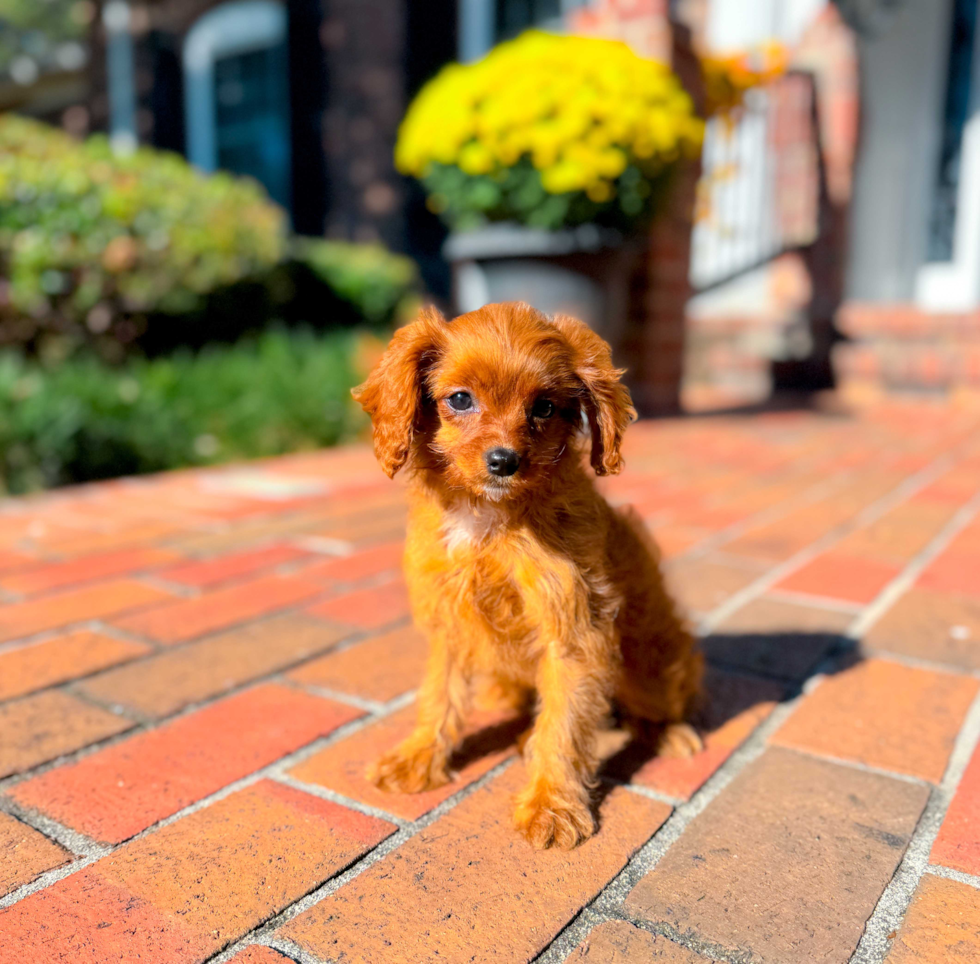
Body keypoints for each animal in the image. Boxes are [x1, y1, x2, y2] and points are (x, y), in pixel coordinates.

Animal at [352, 304, 704, 852]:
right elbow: (438, 695)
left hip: (653, 661)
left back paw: (666, 731)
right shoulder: (448, 622)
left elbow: (563, 724)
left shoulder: (574, 630)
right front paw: (419, 757)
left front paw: (552, 805)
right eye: (460, 399)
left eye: (544, 407)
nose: (505, 461)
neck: (487, 519)